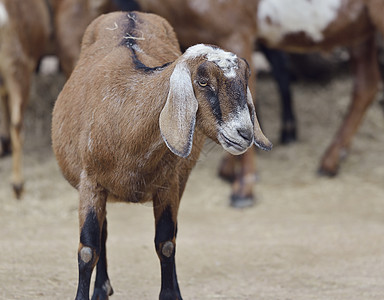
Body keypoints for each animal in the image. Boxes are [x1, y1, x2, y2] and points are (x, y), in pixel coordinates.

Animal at [51, 11, 272, 300]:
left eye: (244, 82)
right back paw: (101, 288)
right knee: (103, 234)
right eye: (203, 81)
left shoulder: (168, 184)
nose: (244, 133)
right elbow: (89, 250)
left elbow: (166, 243)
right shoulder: (90, 183)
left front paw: (171, 294)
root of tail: (129, 13)